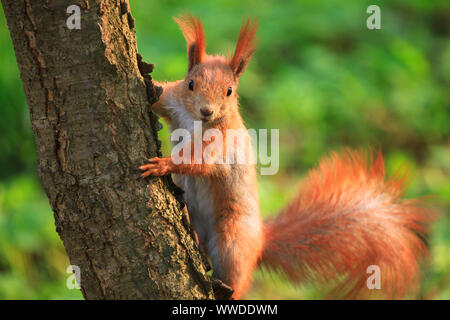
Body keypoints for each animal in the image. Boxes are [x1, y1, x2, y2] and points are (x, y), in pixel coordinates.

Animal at [140, 14, 428, 300]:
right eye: (191, 84)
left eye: (229, 91)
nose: (207, 110)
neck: (195, 120)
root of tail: (260, 239)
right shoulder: (174, 101)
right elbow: (160, 98)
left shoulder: (222, 140)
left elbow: (200, 160)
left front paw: (163, 164)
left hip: (233, 237)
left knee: (236, 272)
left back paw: (226, 289)